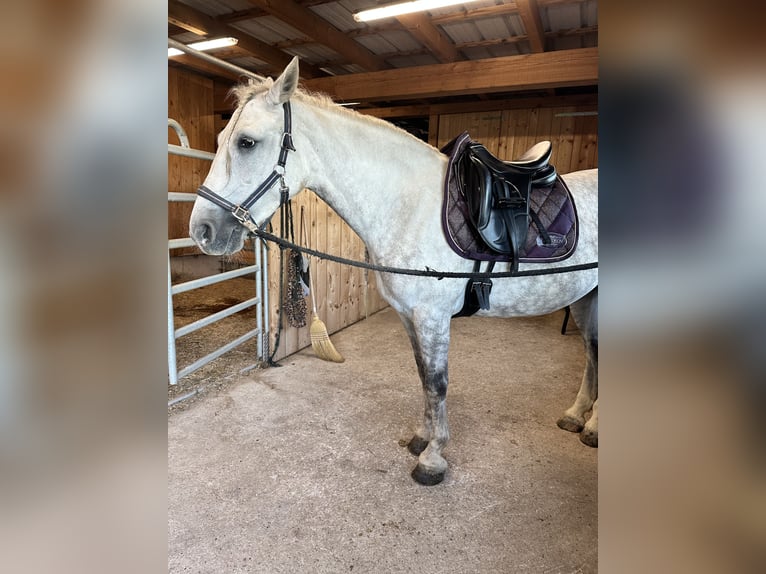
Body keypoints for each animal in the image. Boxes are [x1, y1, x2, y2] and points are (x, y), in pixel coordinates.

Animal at [189, 58, 598, 486]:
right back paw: (577, 418)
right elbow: (423, 377)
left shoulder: (432, 317)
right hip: (587, 300)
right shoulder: (409, 316)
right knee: (592, 355)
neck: (410, 204)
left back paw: (591, 427)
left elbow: (438, 382)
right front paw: (422, 438)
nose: (202, 231)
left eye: (246, 142)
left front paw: (433, 458)